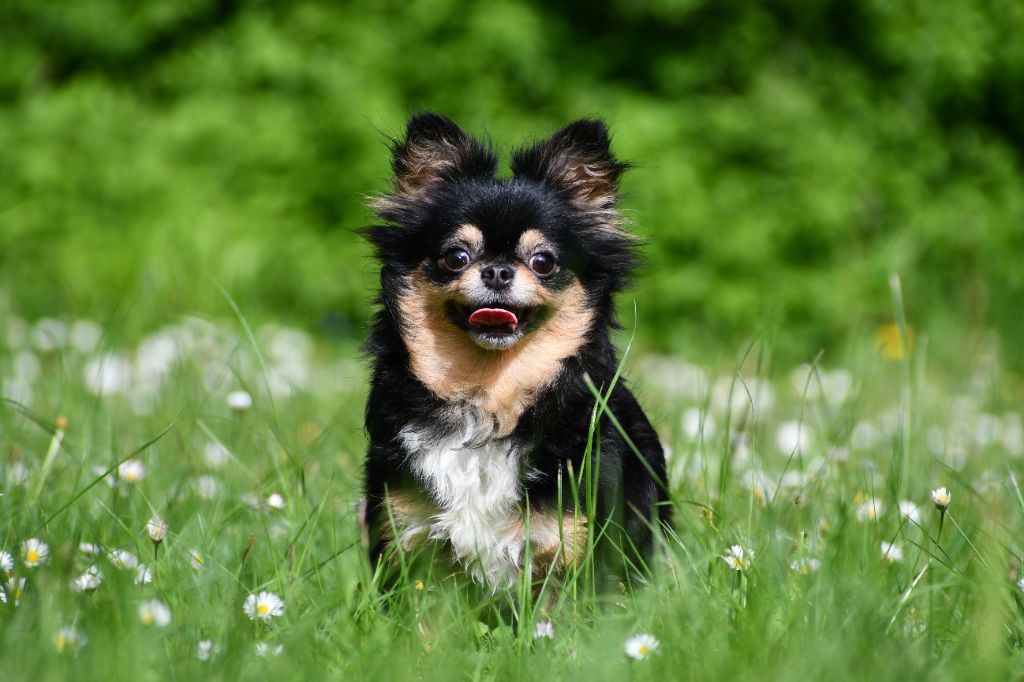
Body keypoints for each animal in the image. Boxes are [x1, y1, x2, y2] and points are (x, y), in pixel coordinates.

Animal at [362, 112, 671, 589]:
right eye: (456, 256)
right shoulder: (407, 542)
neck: (488, 399)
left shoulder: (574, 547)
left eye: (543, 261)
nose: (497, 270)